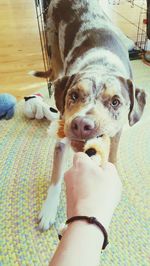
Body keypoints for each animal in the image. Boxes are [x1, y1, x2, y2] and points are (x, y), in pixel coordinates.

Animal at [32, 0, 146, 230]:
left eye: (115, 102)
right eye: (74, 96)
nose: (82, 124)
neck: (101, 66)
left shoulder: (117, 133)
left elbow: (112, 157)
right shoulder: (61, 141)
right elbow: (56, 177)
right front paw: (48, 210)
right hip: (55, 54)